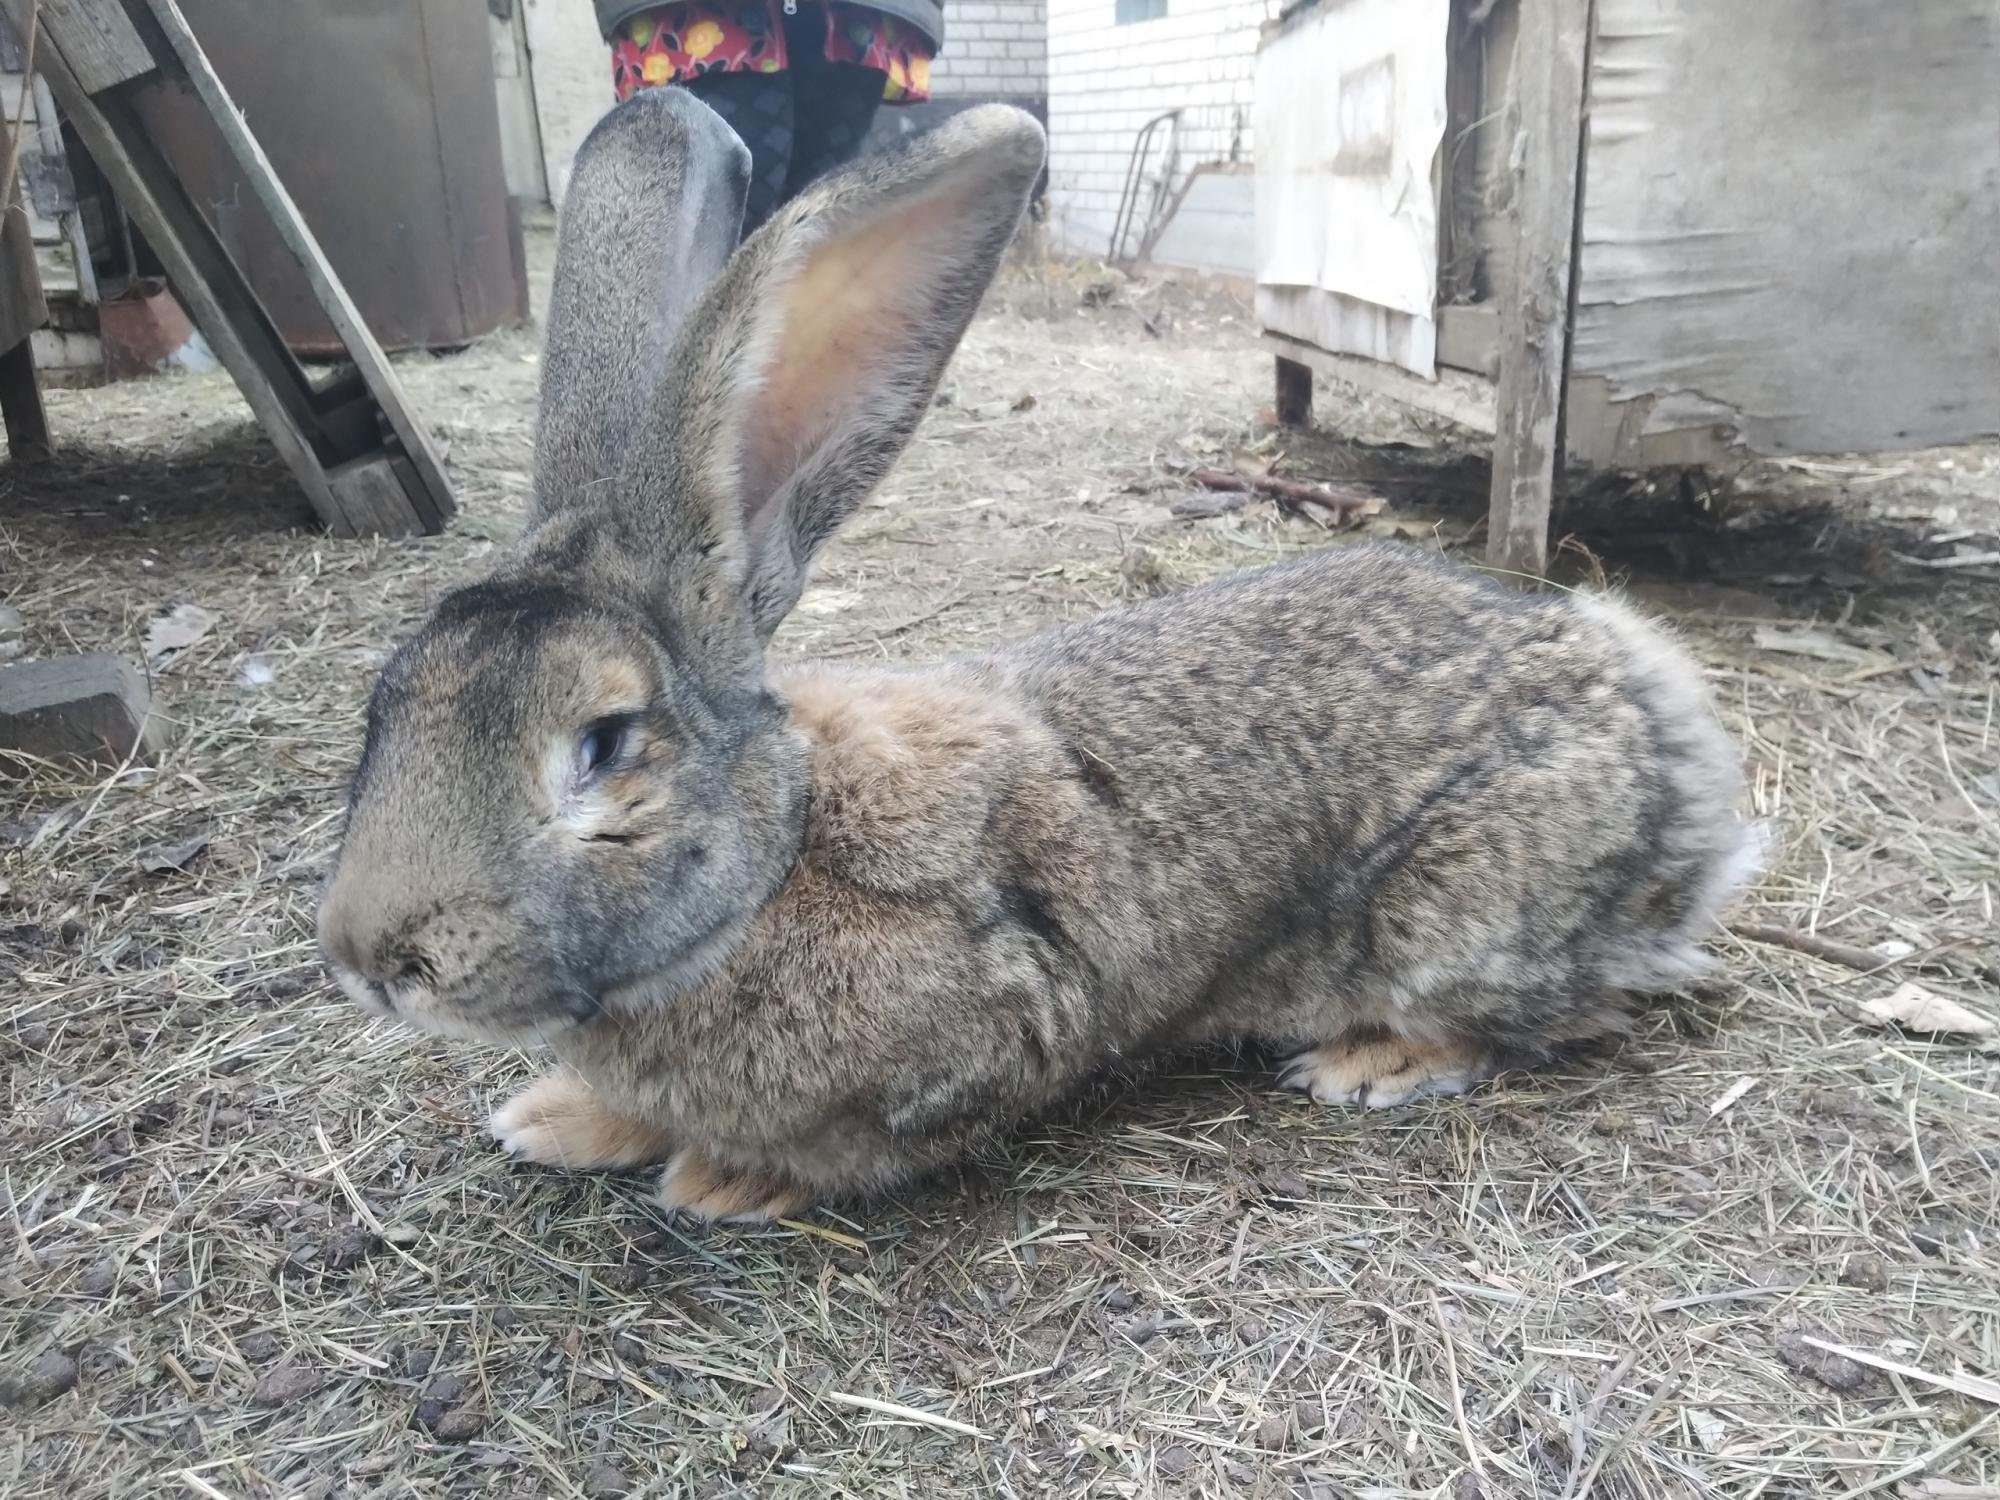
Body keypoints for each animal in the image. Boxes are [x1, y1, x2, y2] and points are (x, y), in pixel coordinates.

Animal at [308, 88, 1752, 1224]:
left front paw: (723, 1178)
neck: (774, 862)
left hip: (1460, 915)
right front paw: (556, 1118)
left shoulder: (986, 1033)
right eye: (385, 706)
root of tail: (1658, 727)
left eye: (605, 746)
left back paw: (1369, 1062)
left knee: (1548, 1013)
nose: (370, 958)